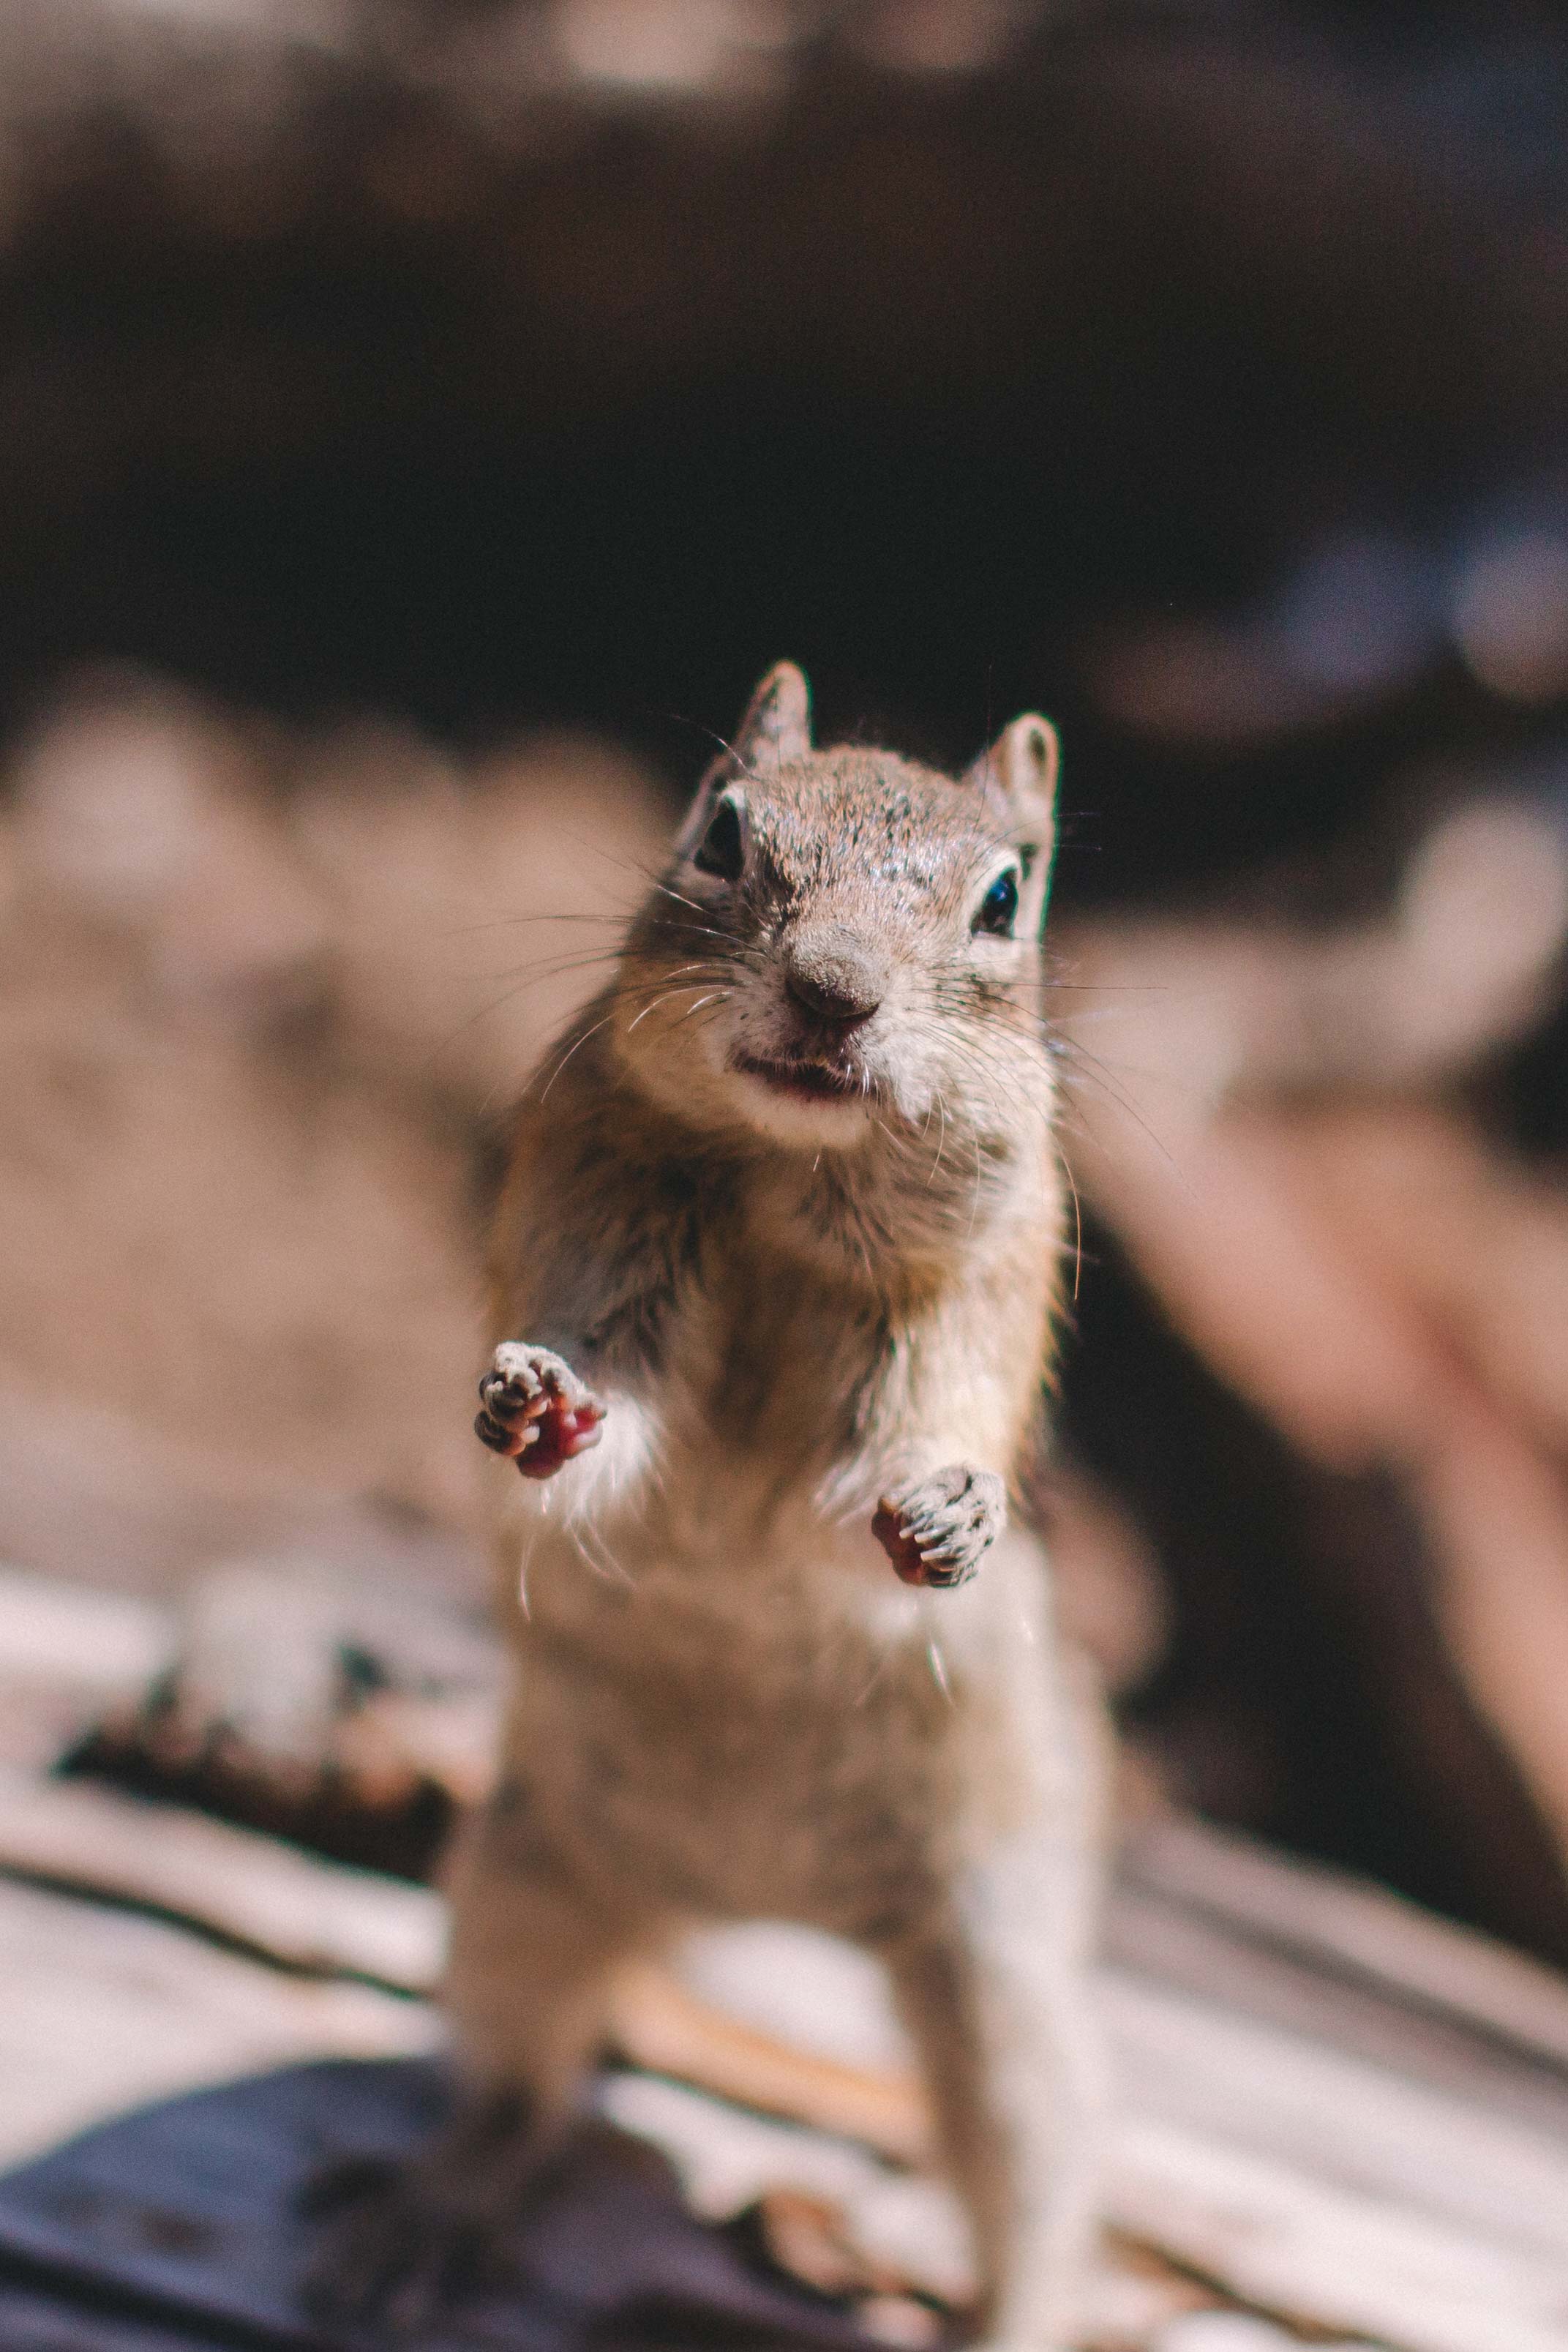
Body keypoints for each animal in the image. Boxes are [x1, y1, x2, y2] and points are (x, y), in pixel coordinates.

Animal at [309, 664, 1107, 2350]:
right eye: (723, 831)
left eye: (1006, 897)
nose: (832, 990)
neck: (781, 1193)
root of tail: (742, 1907)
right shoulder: (584, 1208)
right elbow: (607, 1447)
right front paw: (540, 1406)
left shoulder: (963, 1308)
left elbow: (865, 1503)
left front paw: (951, 1513)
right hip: (520, 1886)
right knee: (524, 2084)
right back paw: (434, 2208)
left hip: (998, 1991)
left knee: (1037, 2187)